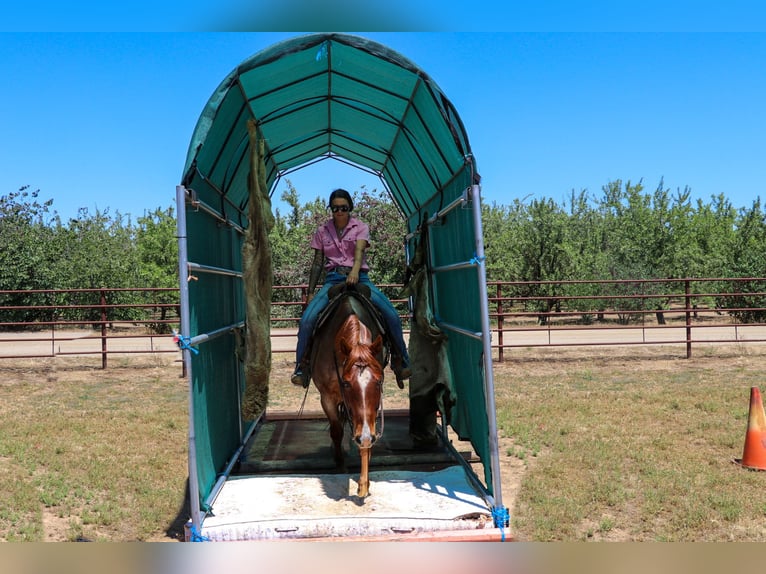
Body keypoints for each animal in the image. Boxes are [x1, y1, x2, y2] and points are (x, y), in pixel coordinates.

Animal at [308, 286, 388, 498]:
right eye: (346, 383)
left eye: (379, 381)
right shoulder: (327, 398)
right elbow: (337, 430)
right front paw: (340, 465)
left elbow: (366, 435)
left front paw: (363, 484)